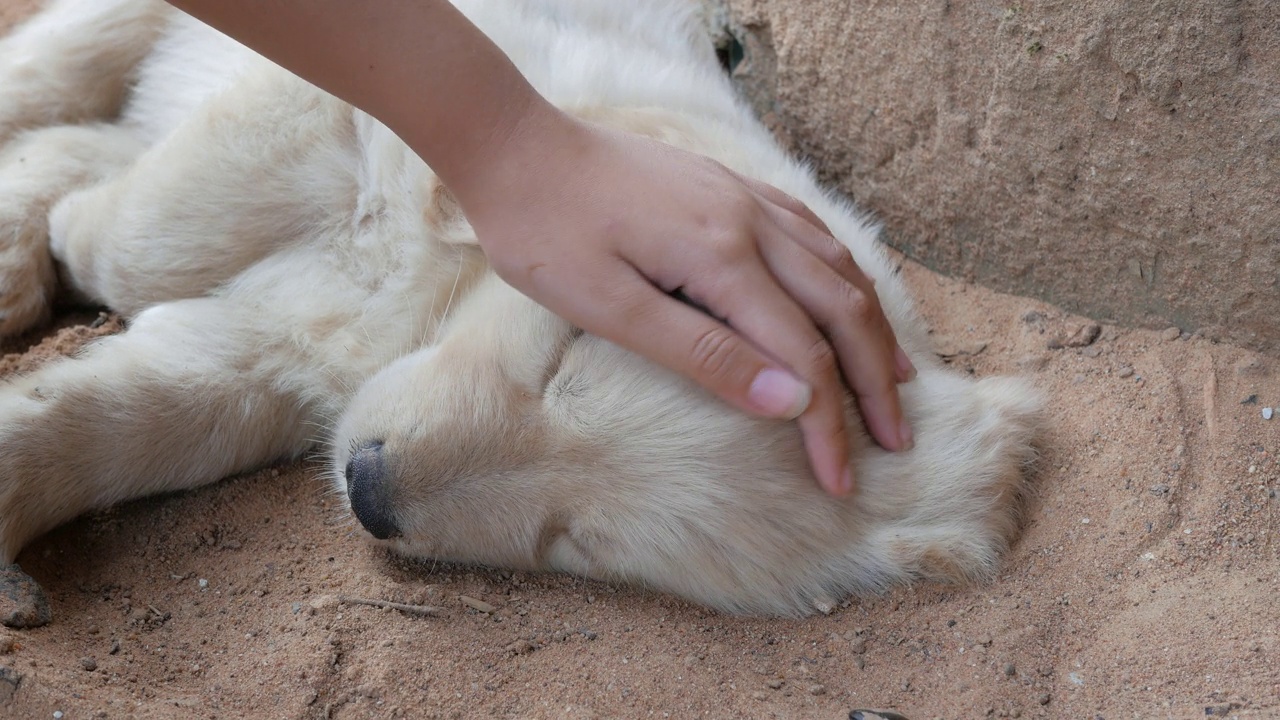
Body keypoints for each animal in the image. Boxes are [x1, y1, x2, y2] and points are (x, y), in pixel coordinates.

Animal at [0, 0, 1039, 617]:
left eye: (575, 542)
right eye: (564, 355)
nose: (368, 491)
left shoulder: (285, 360)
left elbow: (122, 417)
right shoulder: (346, 105)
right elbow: (150, 232)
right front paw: (77, 233)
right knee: (65, 61)